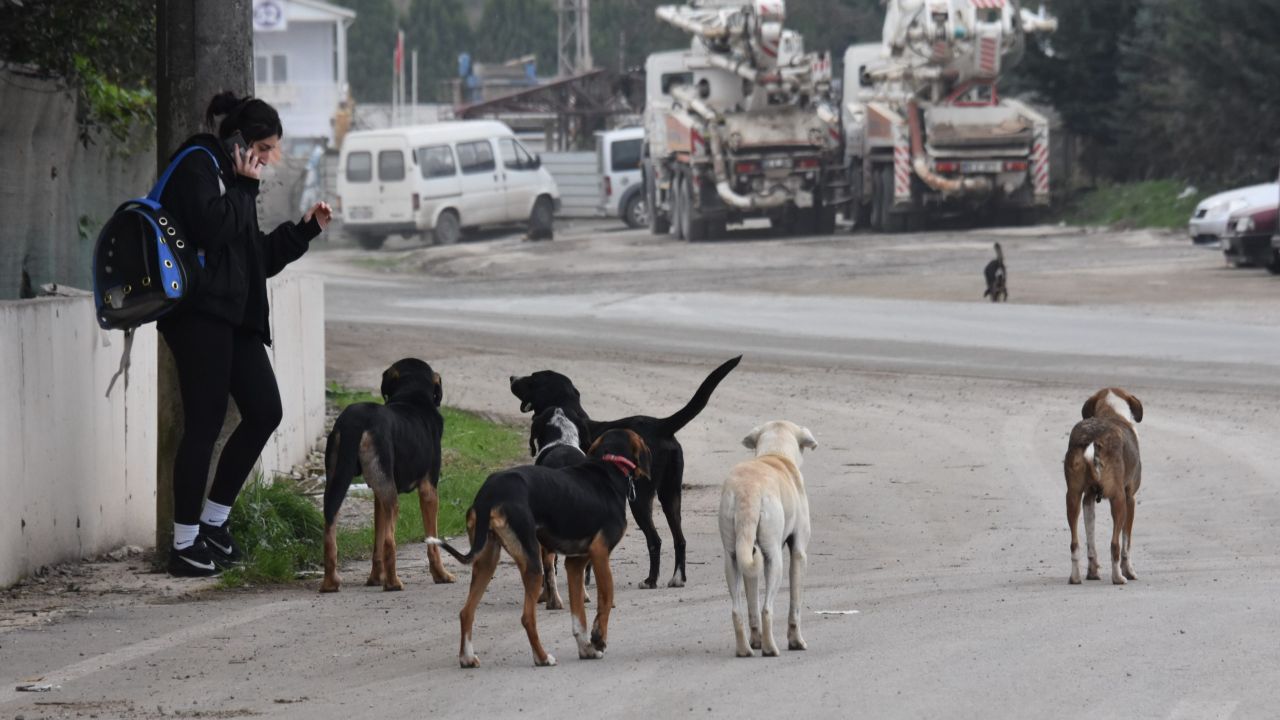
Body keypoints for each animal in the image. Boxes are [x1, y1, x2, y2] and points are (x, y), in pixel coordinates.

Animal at [318, 356, 455, 589]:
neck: (412, 396)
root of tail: (355, 420)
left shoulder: (378, 495)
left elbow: (377, 542)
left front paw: (374, 578)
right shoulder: (429, 490)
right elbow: (432, 542)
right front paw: (441, 575)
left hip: (339, 479)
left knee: (330, 530)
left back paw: (330, 583)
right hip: (391, 496)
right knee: (391, 541)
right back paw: (393, 583)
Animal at [427, 425, 650, 666]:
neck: (609, 466)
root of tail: (489, 493)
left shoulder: (575, 564)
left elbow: (578, 616)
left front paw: (586, 649)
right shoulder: (600, 553)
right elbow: (606, 599)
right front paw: (598, 639)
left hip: (486, 561)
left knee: (466, 612)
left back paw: (467, 658)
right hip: (533, 564)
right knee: (527, 618)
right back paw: (542, 657)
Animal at [504, 353, 737, 589]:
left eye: (533, 378)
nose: (512, 377)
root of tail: (662, 426)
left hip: (640, 498)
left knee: (655, 540)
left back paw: (651, 579)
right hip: (671, 495)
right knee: (679, 539)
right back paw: (678, 577)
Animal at [721, 415, 819, 655]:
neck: (775, 453)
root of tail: (748, 491)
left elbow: (752, 605)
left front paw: (755, 640)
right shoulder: (799, 553)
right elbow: (795, 605)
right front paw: (796, 642)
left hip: (733, 557)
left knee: (738, 610)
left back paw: (746, 649)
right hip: (774, 560)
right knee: (767, 608)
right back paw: (770, 648)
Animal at [1064, 386, 1146, 584]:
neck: (1111, 412)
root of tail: (1093, 438)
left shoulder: (1088, 499)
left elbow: (1091, 542)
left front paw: (1093, 572)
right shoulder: (1130, 498)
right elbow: (1126, 542)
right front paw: (1129, 571)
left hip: (1072, 496)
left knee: (1074, 543)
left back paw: (1075, 577)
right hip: (1119, 500)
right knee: (1115, 544)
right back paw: (1119, 577)